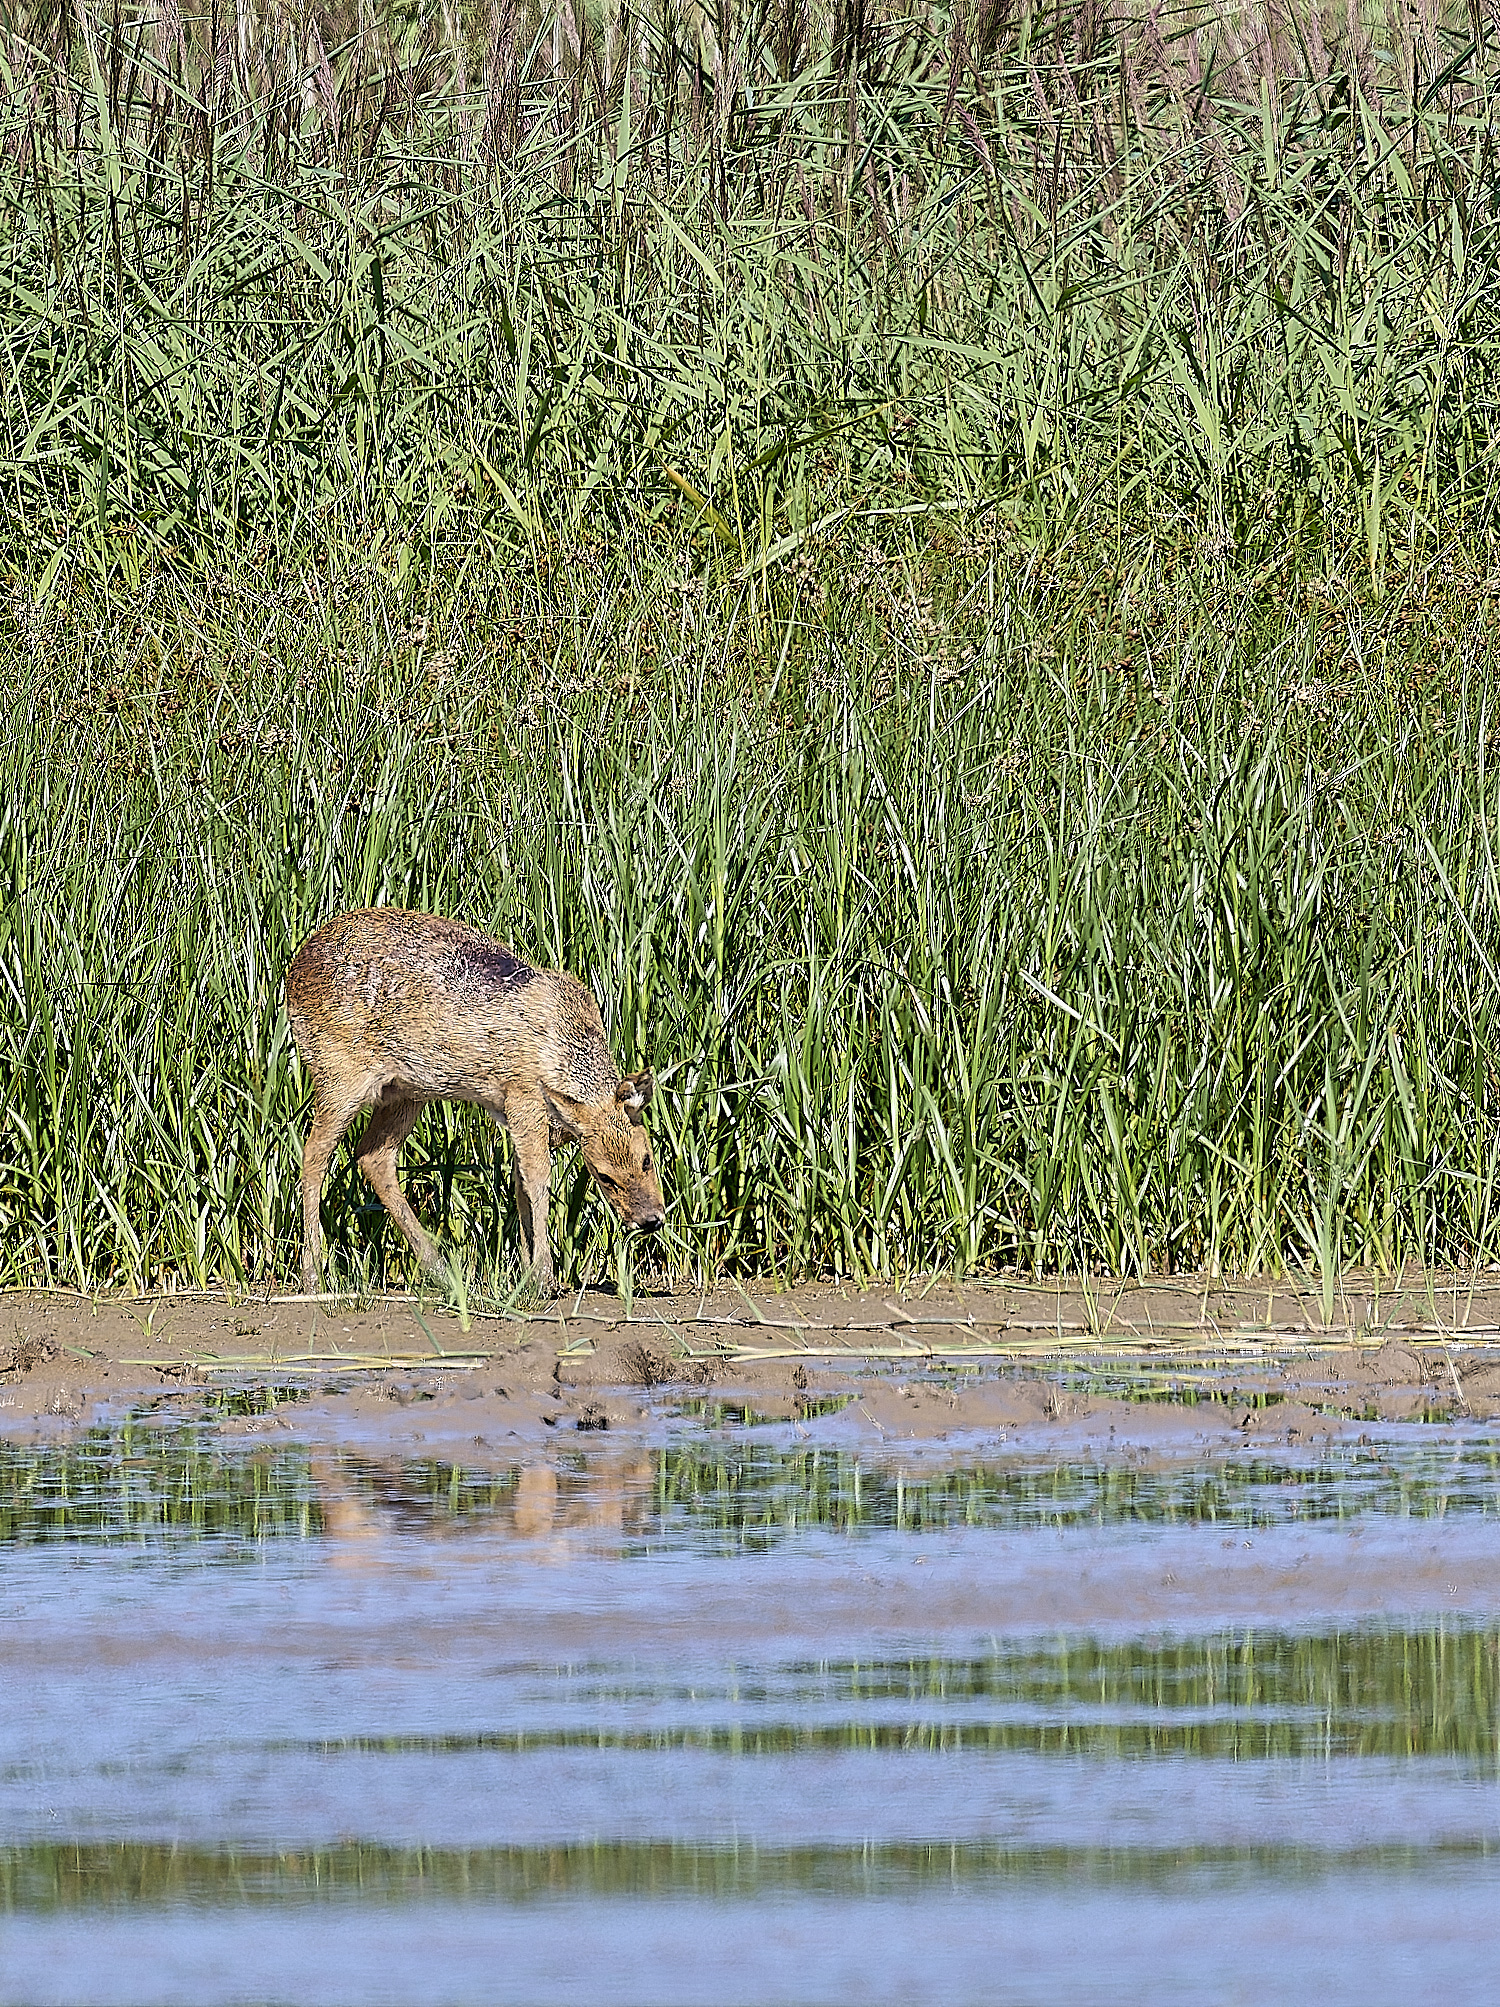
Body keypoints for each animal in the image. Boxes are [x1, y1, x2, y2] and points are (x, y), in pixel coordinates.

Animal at [285, 915, 666, 1300]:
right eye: (603, 1176)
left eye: (647, 1158)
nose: (650, 1220)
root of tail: (294, 972)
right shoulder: (523, 1094)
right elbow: (537, 1178)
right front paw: (543, 1277)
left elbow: (521, 1181)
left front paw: (527, 1273)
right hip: (339, 1073)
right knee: (314, 1153)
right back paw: (313, 1273)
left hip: (406, 1090)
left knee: (372, 1157)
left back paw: (438, 1268)